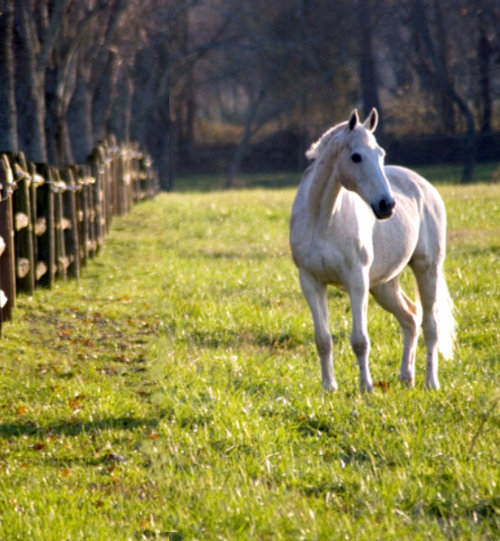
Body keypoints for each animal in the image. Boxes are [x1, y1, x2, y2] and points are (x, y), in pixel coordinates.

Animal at [290, 107, 458, 390]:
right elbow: (323, 339)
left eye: (381, 154)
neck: (322, 220)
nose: (387, 205)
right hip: (384, 286)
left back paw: (430, 382)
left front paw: (366, 387)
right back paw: (406, 377)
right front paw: (328, 387)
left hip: (427, 269)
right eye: (356, 156)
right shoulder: (311, 281)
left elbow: (360, 340)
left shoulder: (356, 280)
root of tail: (424, 186)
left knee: (430, 324)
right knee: (410, 318)